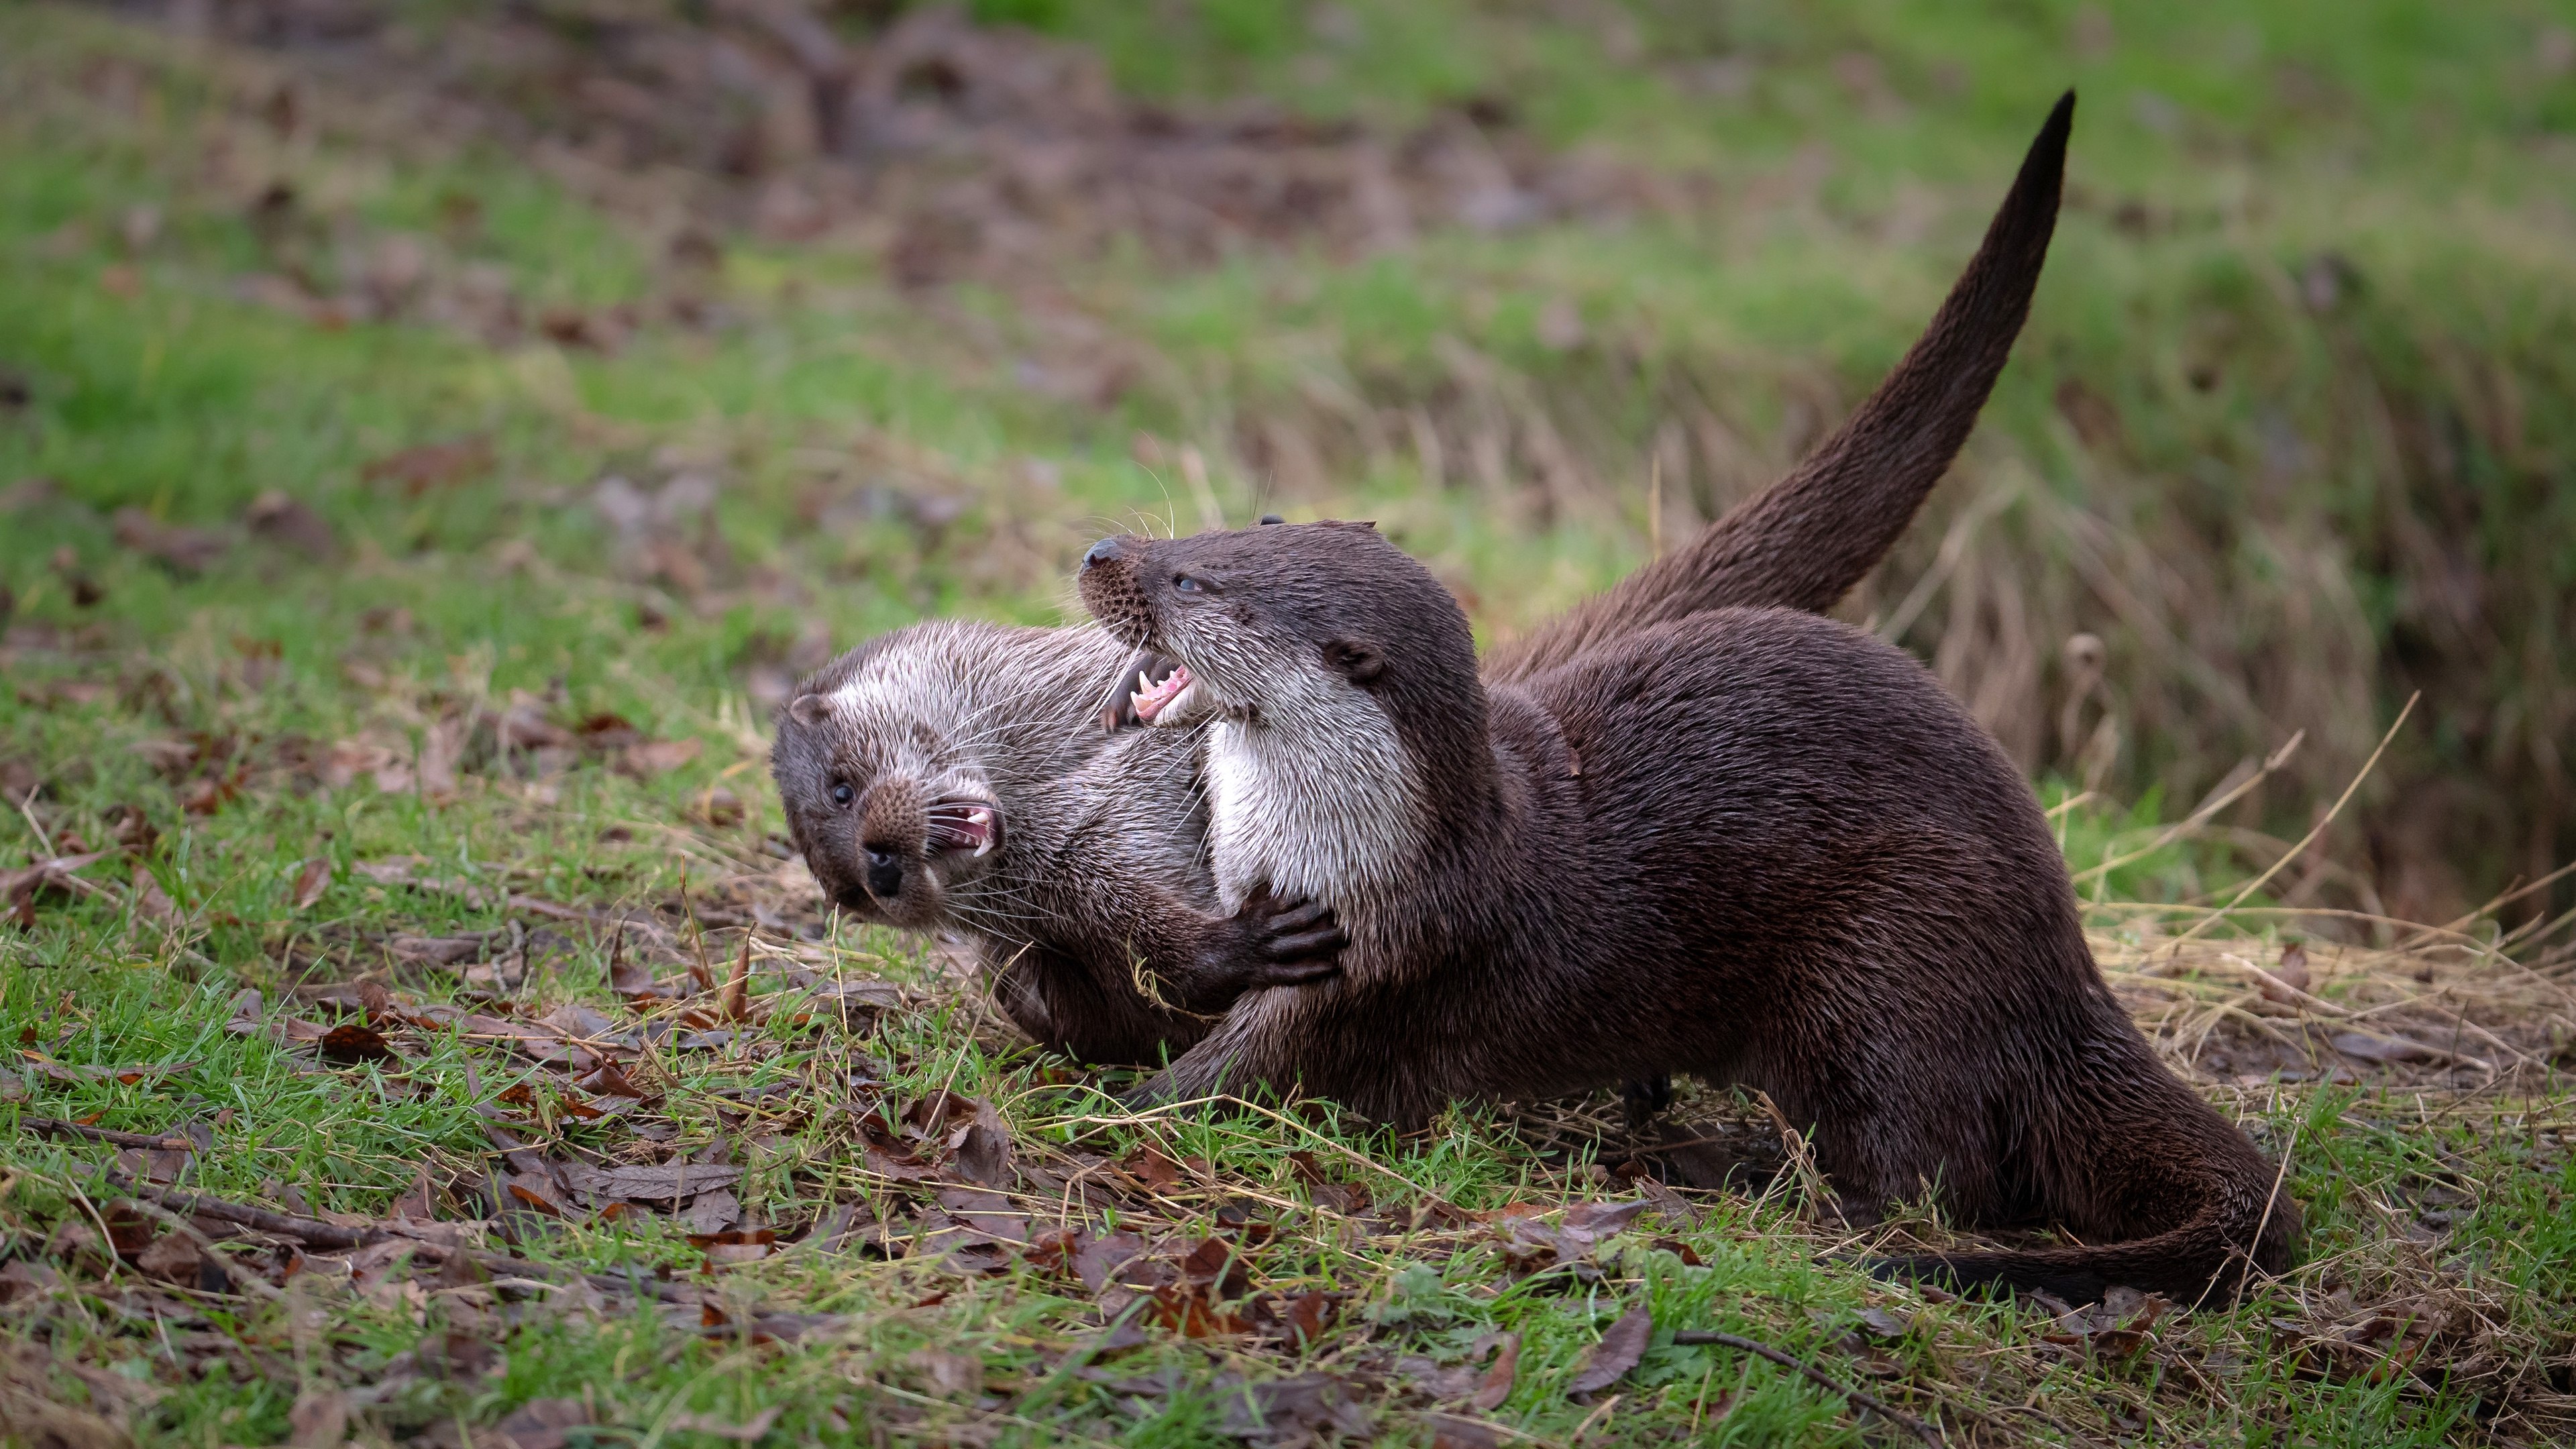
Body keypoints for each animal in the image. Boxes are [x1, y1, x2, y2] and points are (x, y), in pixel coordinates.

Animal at [762, 90, 2071, 1067]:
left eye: (844, 785)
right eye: (865, 882)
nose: (885, 854)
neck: (1058, 771)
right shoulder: (1069, 888)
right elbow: (1123, 948)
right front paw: (1238, 956)